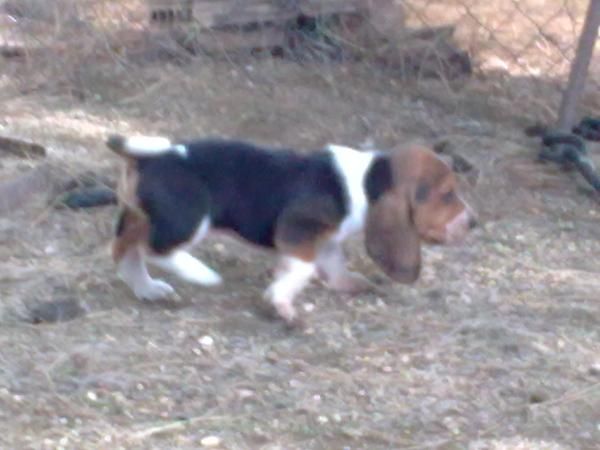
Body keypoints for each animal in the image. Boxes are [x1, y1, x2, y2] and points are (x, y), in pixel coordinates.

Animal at [106, 135, 474, 326]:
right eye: (447, 195)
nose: (474, 222)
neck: (367, 180)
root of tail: (152, 156)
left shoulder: (326, 240)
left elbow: (333, 265)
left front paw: (348, 284)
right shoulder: (299, 233)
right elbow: (303, 270)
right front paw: (281, 302)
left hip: (137, 216)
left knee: (125, 251)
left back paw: (147, 289)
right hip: (191, 220)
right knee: (156, 250)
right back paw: (199, 273)